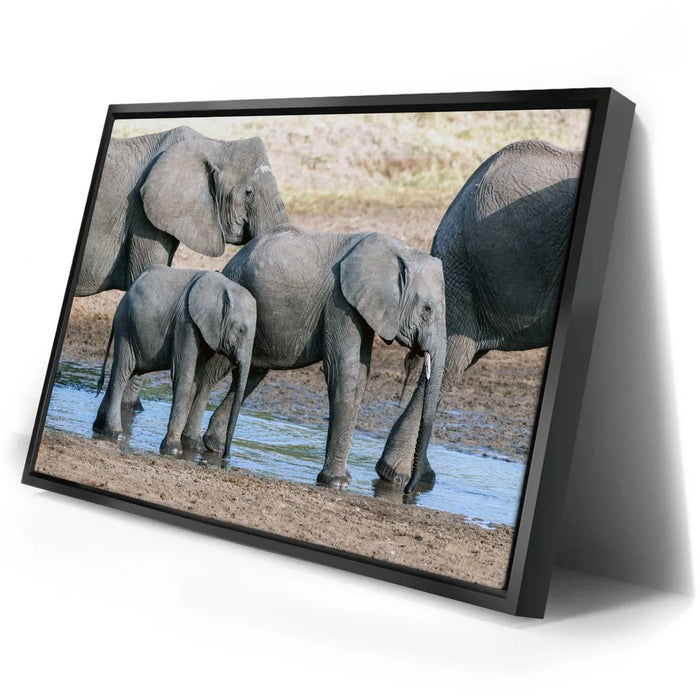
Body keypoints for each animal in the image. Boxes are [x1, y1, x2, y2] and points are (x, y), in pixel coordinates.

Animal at [93, 265, 257, 459]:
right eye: (241, 330)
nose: (226, 457)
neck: (226, 286)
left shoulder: (204, 331)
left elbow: (195, 380)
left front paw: (194, 448)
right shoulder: (186, 322)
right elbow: (184, 376)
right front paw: (173, 450)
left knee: (127, 372)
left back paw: (98, 427)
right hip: (126, 326)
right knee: (123, 372)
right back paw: (115, 434)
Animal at [179, 226, 446, 491]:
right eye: (427, 310)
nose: (409, 489)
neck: (401, 250)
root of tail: (232, 260)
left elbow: (360, 377)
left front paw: (341, 481)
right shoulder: (340, 302)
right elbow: (345, 374)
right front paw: (336, 483)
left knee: (252, 374)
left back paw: (214, 445)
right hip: (233, 306)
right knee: (216, 370)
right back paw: (192, 443)